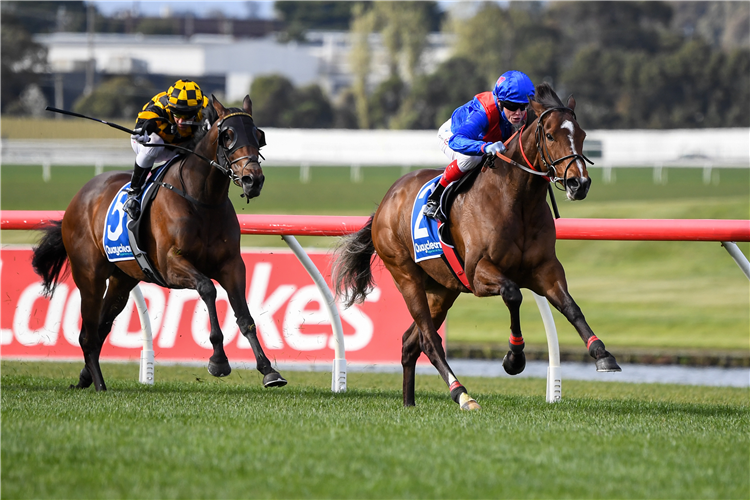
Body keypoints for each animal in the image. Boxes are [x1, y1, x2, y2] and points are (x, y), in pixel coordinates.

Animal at [31, 94, 288, 390]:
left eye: (259, 135)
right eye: (228, 135)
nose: (252, 179)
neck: (202, 199)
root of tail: (78, 198)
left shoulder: (232, 265)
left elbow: (244, 316)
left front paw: (269, 370)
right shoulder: (170, 264)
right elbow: (207, 288)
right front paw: (218, 360)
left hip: (122, 279)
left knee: (101, 326)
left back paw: (86, 377)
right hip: (89, 275)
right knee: (87, 333)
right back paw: (99, 384)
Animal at [334, 83, 624, 410]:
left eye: (583, 134)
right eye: (550, 135)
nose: (579, 184)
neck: (516, 201)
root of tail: (386, 201)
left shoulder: (545, 269)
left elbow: (571, 307)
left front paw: (602, 354)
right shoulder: (478, 272)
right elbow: (513, 294)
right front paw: (514, 358)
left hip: (442, 289)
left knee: (411, 341)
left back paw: (410, 402)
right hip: (406, 276)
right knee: (429, 340)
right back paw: (461, 394)